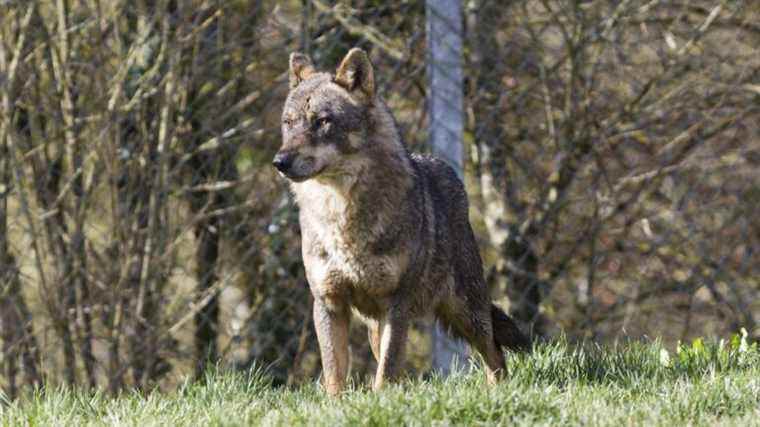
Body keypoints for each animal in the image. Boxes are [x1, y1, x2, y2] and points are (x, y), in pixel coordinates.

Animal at [274, 48, 528, 396]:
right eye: (289, 123)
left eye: (322, 121)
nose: (279, 162)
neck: (341, 215)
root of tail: (443, 166)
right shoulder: (329, 302)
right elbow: (335, 374)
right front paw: (336, 403)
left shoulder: (397, 303)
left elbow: (387, 369)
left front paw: (381, 400)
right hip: (377, 323)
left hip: (466, 313)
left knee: (495, 353)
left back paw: (497, 393)